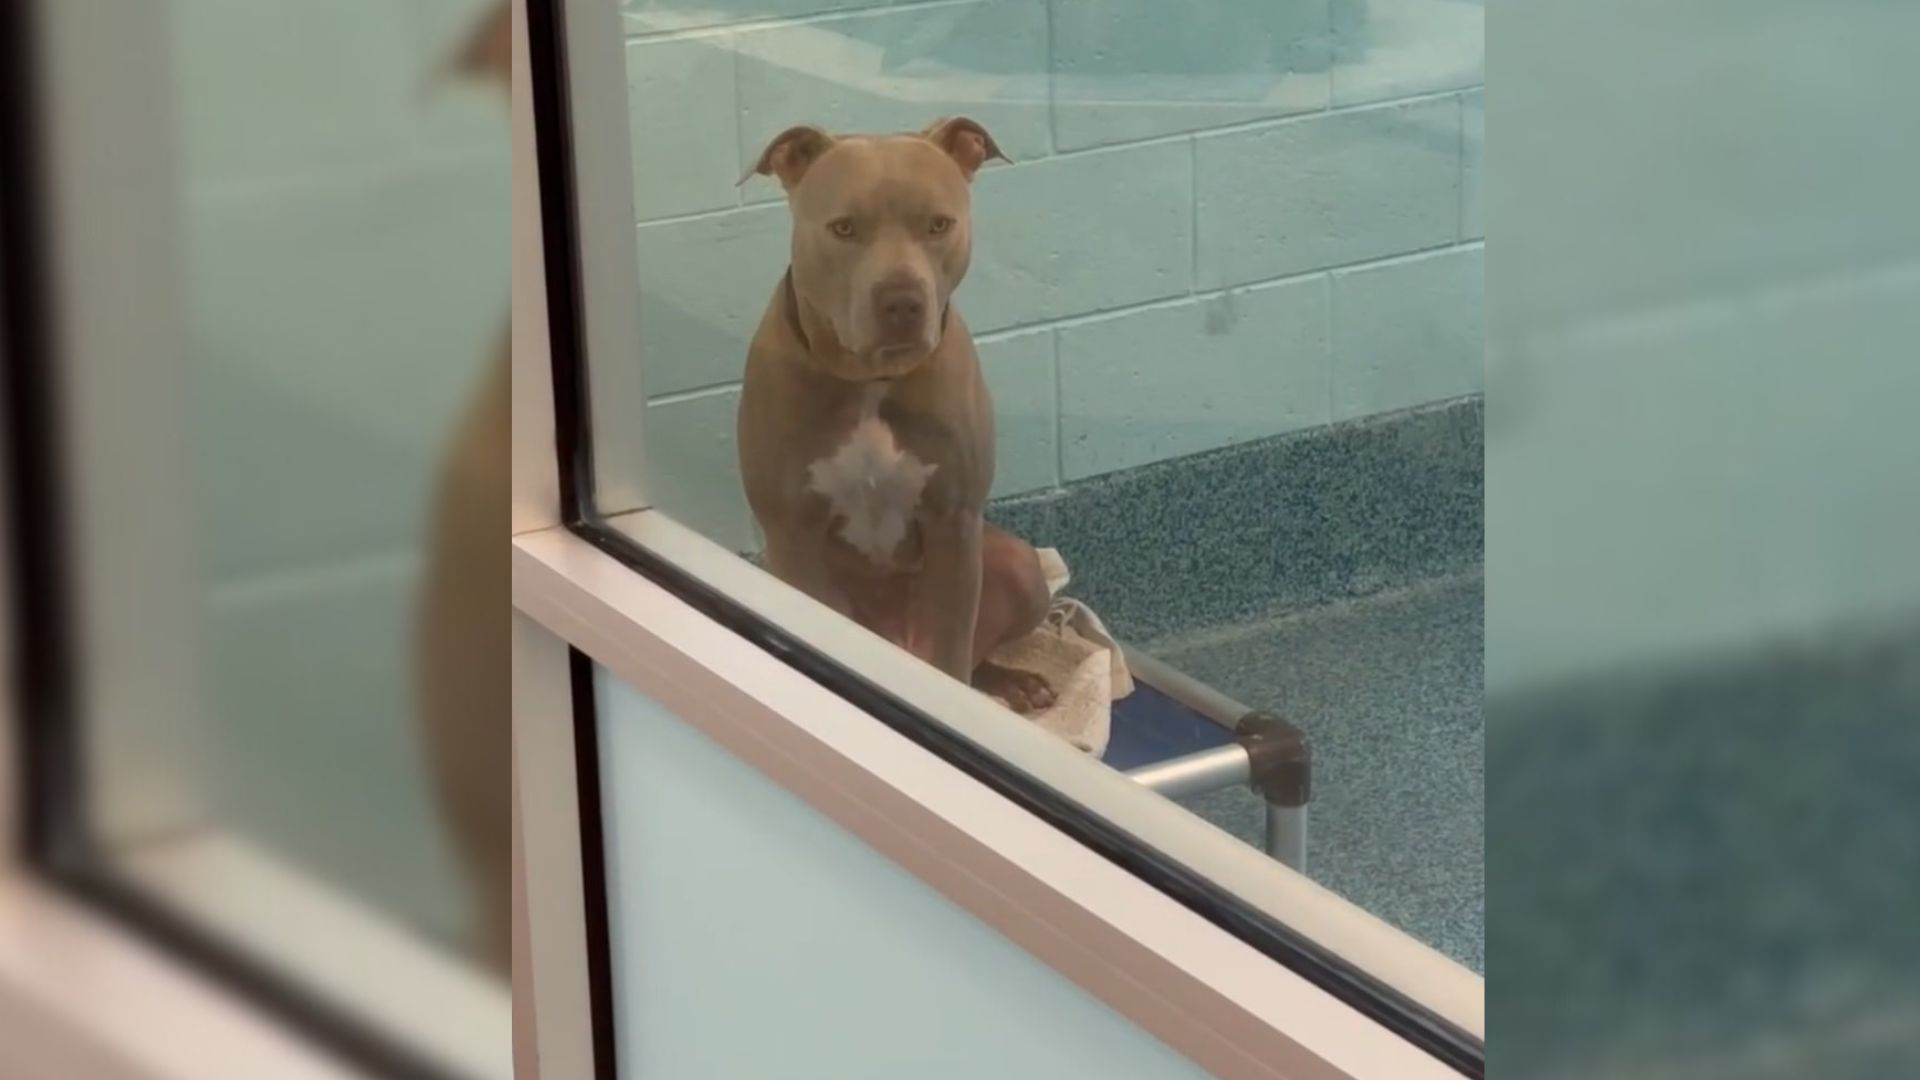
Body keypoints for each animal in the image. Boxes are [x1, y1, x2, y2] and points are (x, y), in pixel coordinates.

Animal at [737, 117, 1067, 711]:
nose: (901, 300)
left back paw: (1015, 684)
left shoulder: (954, 526)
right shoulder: (790, 533)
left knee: (973, 655)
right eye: (844, 228)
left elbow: (953, 657)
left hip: (1020, 567)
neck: (870, 379)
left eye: (938, 224)